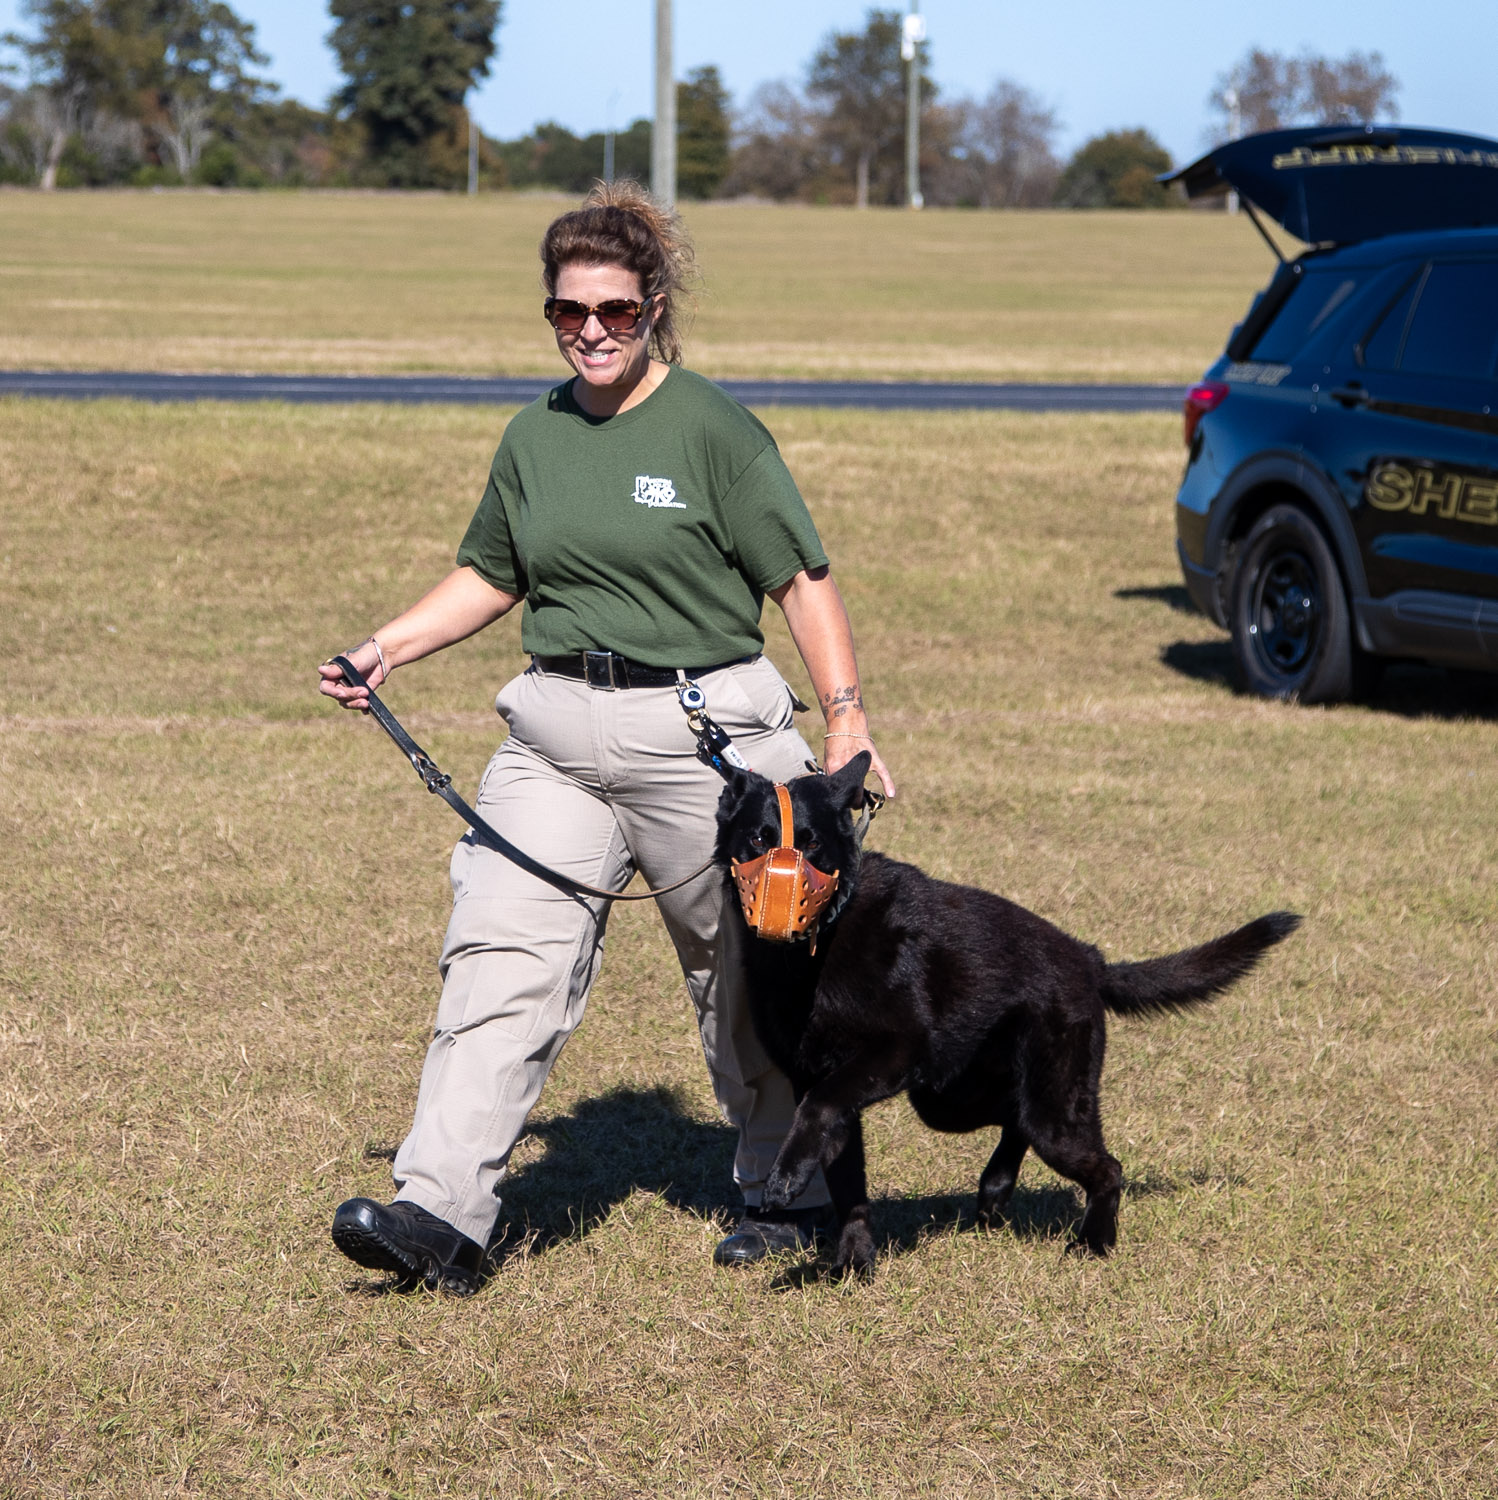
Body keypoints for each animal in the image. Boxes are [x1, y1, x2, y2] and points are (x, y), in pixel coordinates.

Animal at [714, 751, 1301, 1277]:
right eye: (760, 840)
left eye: (811, 843)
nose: (778, 908)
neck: (817, 948)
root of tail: (1088, 958)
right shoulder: (831, 1087)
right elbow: (846, 1184)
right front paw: (852, 1265)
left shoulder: (887, 1056)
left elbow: (819, 1108)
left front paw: (786, 1179)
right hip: (949, 1098)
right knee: (1014, 1116)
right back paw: (996, 1190)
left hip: (1041, 1107)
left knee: (1104, 1165)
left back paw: (1093, 1242)